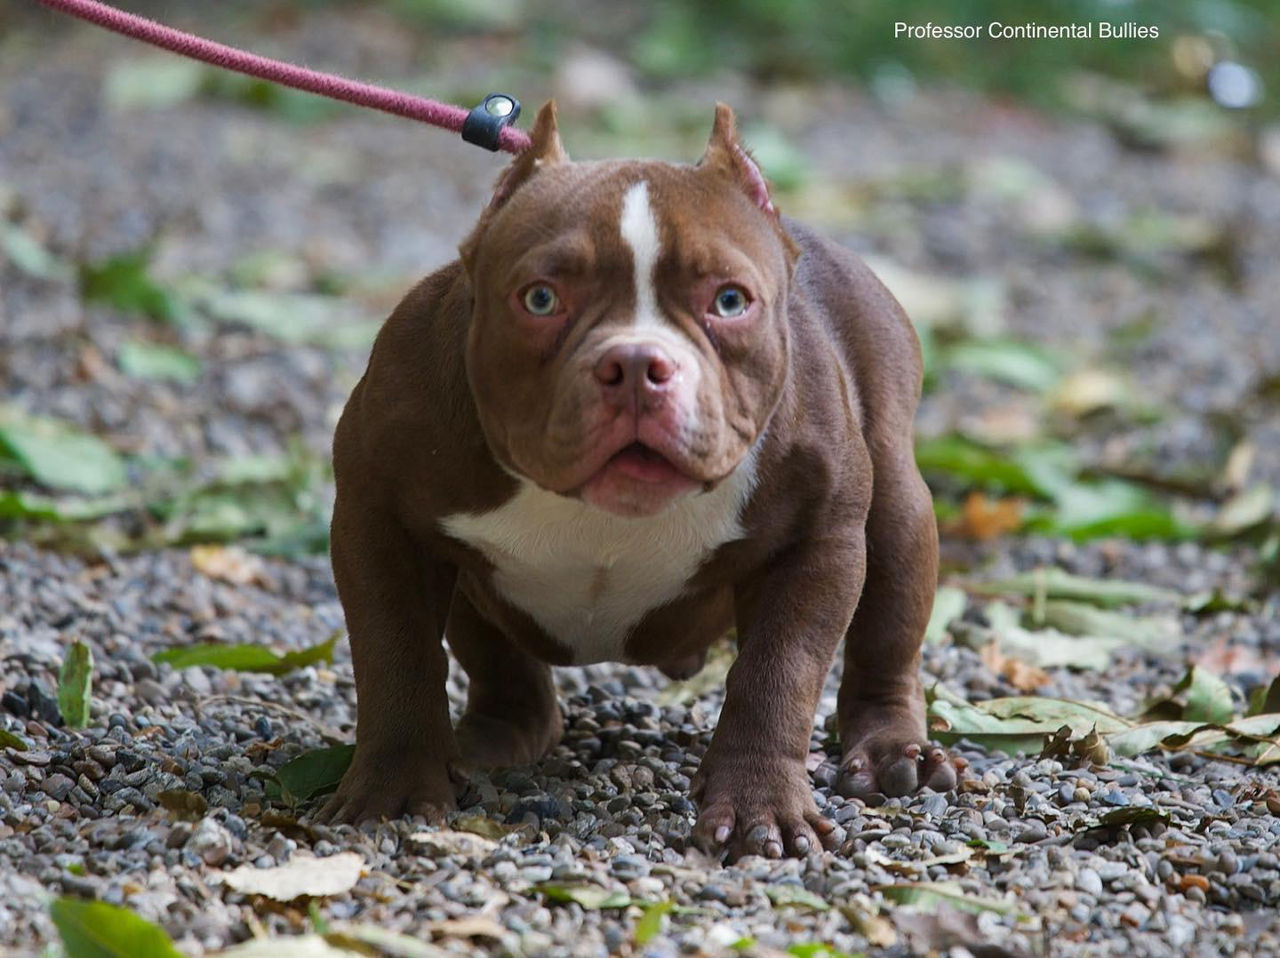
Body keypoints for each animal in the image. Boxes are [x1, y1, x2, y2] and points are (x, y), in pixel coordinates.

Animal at [317, 101, 962, 855]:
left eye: (730, 301)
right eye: (541, 299)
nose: (633, 364)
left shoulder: (817, 542)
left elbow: (779, 675)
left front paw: (761, 807)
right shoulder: (378, 521)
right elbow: (396, 658)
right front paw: (392, 789)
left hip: (897, 507)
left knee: (888, 636)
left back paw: (892, 753)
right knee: (500, 663)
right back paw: (489, 740)